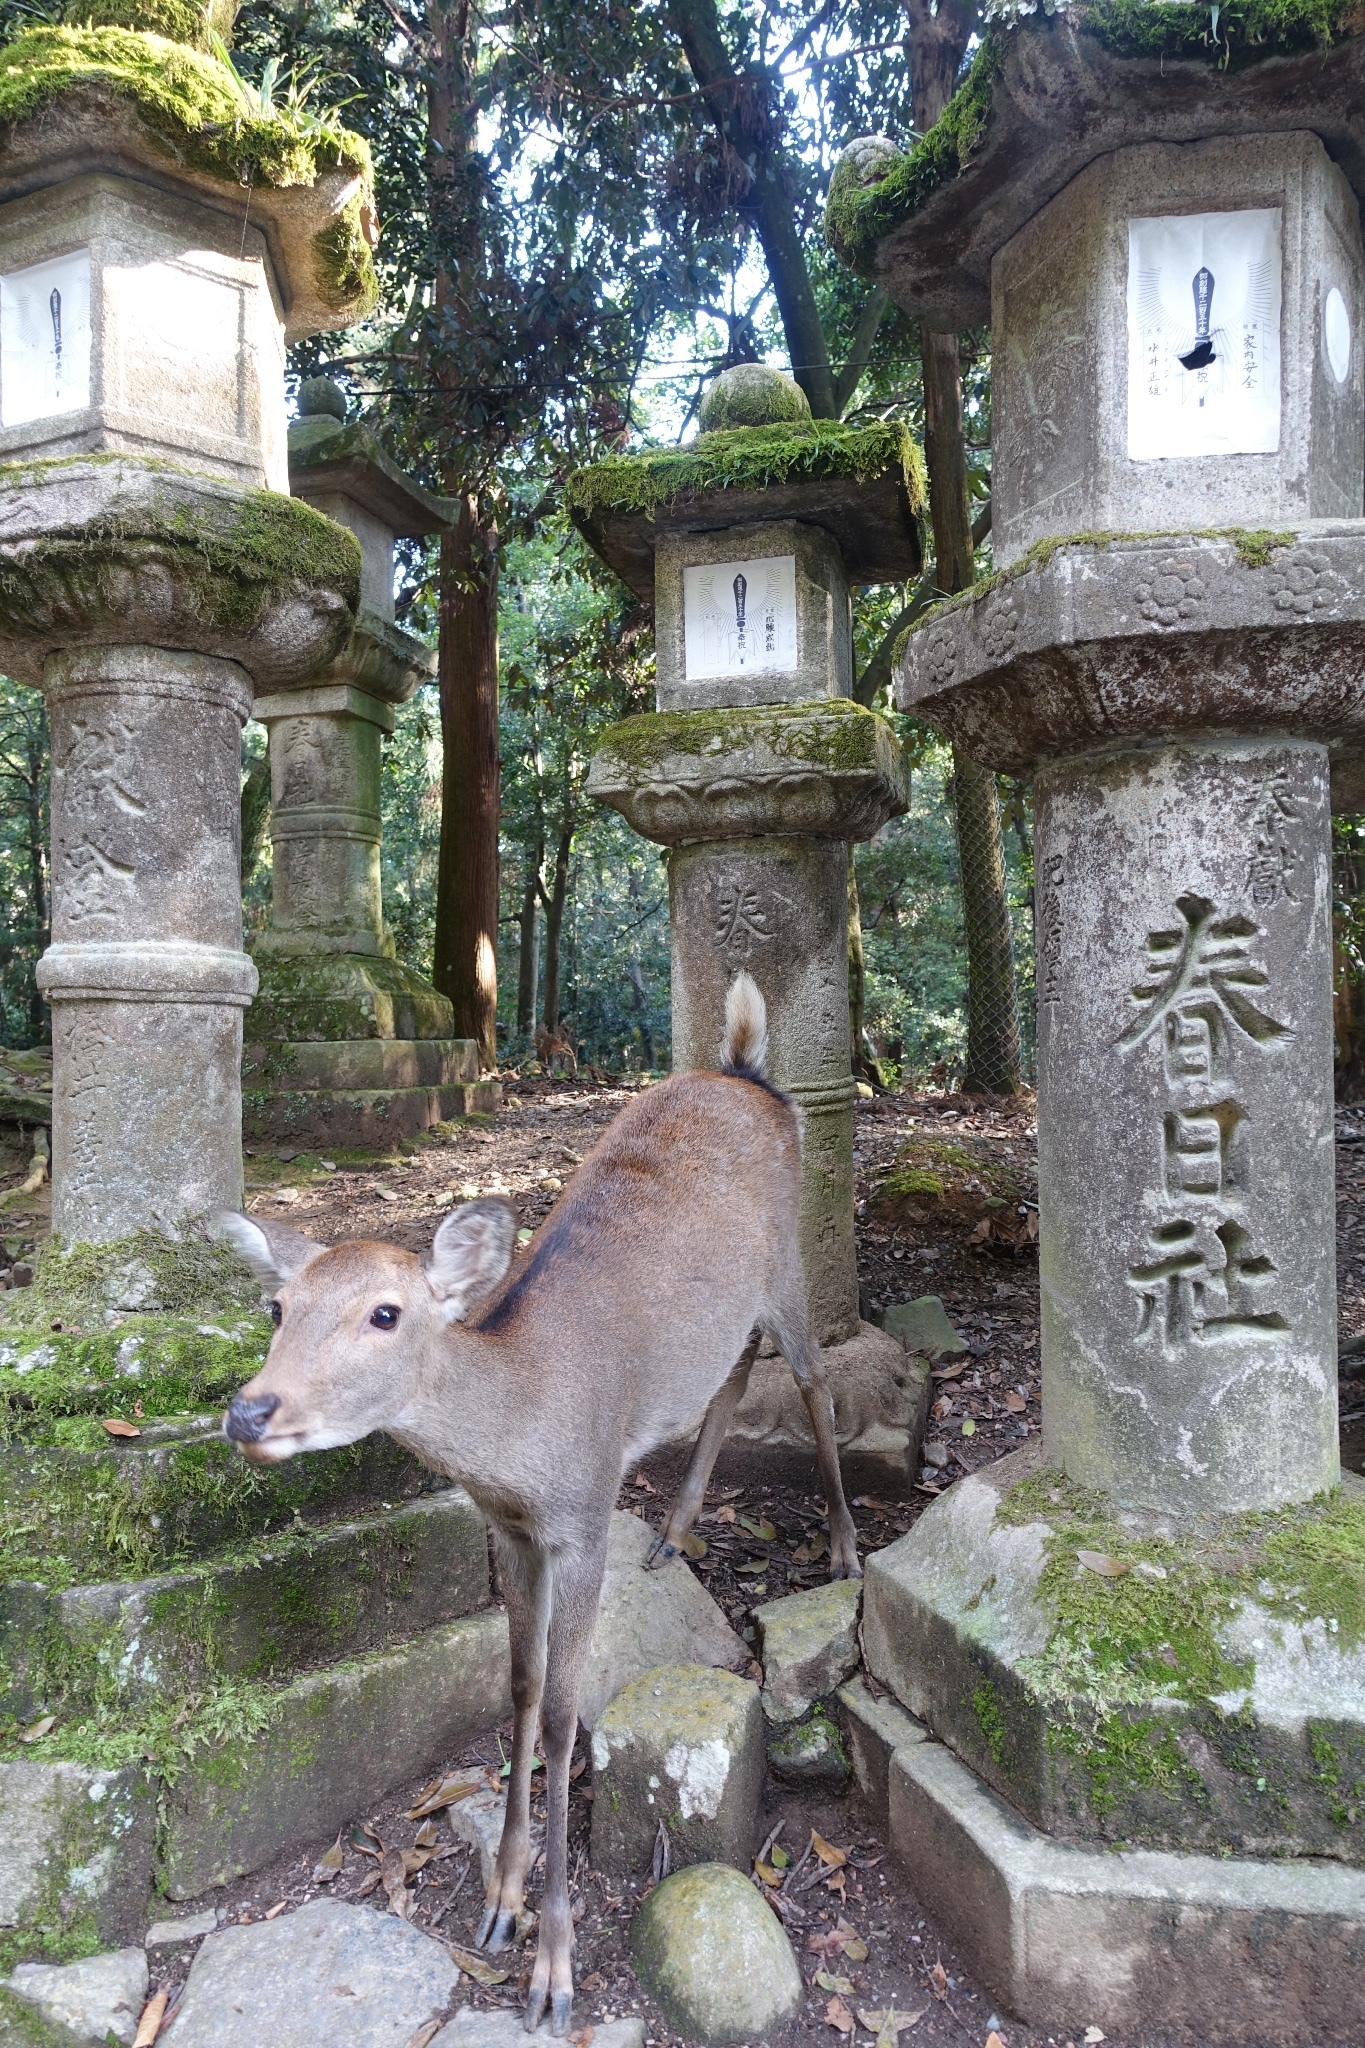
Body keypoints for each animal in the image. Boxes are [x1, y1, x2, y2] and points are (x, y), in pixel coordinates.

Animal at [213, 974, 859, 2031]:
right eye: (277, 1307)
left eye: (385, 1313)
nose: (247, 1410)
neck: (522, 1446)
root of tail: (746, 1067)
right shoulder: (510, 1535)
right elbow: (515, 1688)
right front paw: (499, 1903)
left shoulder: (584, 1517)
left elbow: (562, 1715)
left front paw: (552, 1968)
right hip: (731, 1314)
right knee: (730, 1372)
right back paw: (675, 1531)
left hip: (793, 1263)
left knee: (811, 1378)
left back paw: (843, 1549)